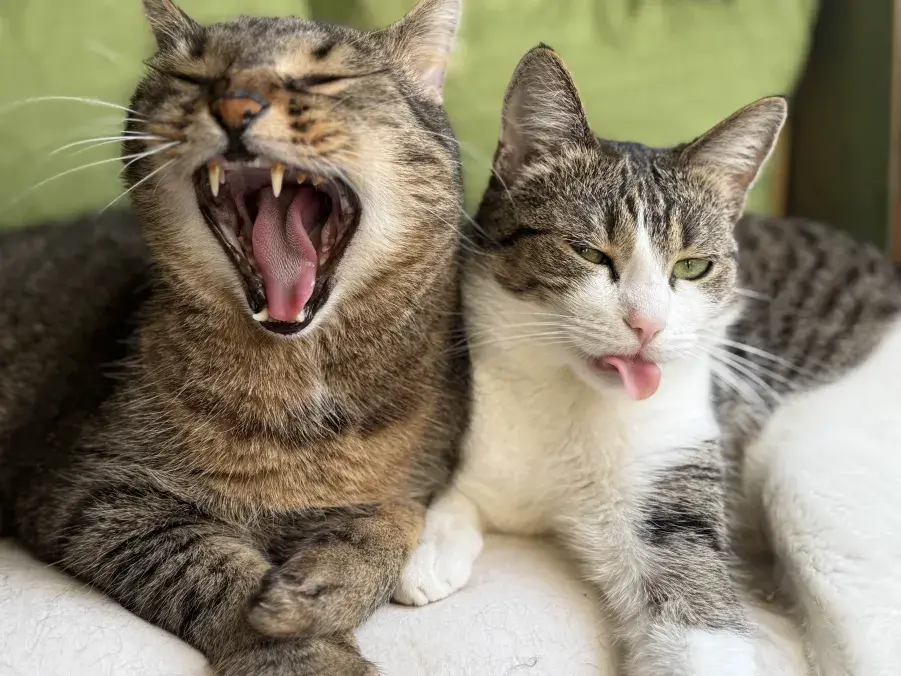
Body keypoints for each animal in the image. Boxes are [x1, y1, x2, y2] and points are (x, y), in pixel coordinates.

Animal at [0, 1, 468, 675]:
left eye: (326, 78)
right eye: (195, 77)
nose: (236, 105)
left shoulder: (409, 483)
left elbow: (392, 517)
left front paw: (318, 588)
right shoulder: (91, 492)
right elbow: (210, 571)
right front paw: (304, 649)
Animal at [394, 44, 901, 676]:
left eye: (692, 266)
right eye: (588, 252)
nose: (647, 323)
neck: (572, 406)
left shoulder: (671, 494)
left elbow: (699, 626)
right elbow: (459, 499)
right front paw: (432, 551)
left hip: (811, 486)